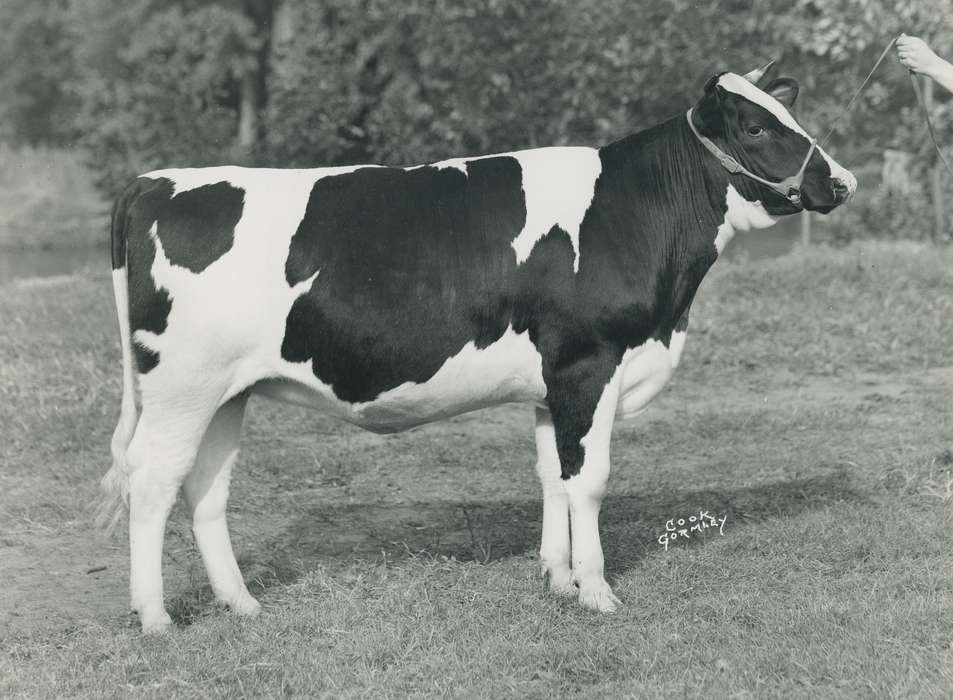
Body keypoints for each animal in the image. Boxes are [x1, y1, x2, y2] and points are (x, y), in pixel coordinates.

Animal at [100, 64, 856, 633]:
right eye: (756, 127)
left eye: (788, 117)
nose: (840, 181)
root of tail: (155, 180)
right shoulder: (588, 364)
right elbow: (588, 480)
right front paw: (596, 591)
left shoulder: (554, 382)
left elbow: (552, 475)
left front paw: (556, 578)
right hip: (181, 386)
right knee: (154, 480)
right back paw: (156, 618)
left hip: (226, 391)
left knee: (205, 486)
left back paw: (242, 604)